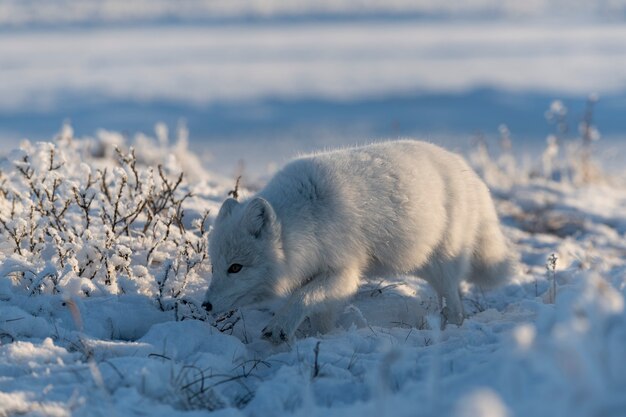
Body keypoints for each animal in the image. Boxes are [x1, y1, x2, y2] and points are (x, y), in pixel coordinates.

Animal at [202, 140, 510, 342]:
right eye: (215, 267)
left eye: (236, 268)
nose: (205, 306)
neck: (306, 219)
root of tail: (469, 173)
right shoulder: (316, 272)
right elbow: (318, 311)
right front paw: (320, 339)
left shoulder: (344, 272)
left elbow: (303, 298)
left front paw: (280, 327)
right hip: (418, 263)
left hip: (441, 265)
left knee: (456, 306)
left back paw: (451, 331)